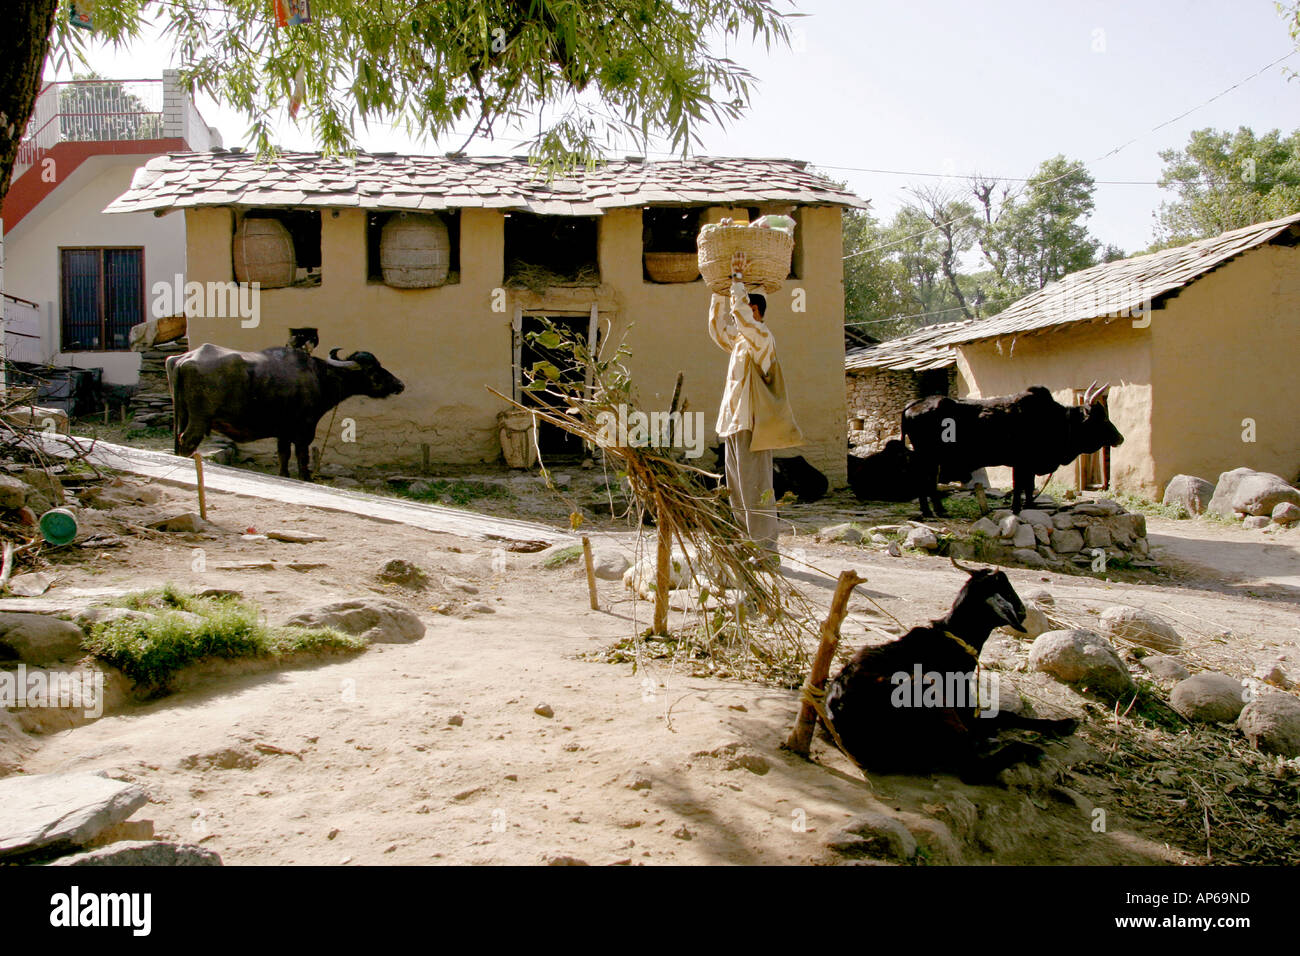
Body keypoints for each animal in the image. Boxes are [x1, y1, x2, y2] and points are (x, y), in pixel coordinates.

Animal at [165, 343, 403, 481]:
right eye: (373, 369)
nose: (399, 384)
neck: (319, 377)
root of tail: (184, 360)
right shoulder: (304, 428)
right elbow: (301, 455)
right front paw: (305, 477)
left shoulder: (283, 431)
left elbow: (283, 454)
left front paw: (284, 474)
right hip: (199, 420)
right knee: (187, 440)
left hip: (182, 416)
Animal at [821, 556, 1076, 780]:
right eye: (1003, 586)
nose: (1023, 612)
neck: (953, 640)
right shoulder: (964, 711)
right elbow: (1005, 716)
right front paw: (1062, 724)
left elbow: (1005, 715)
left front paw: (1061, 724)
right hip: (927, 696)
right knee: (972, 769)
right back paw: (1025, 749)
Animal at [899, 382, 1123, 515]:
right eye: (1102, 418)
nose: (1120, 438)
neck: (1056, 420)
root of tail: (914, 404)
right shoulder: (1022, 463)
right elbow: (1021, 487)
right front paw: (1017, 509)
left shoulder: (1025, 465)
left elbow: (1028, 487)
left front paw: (1030, 506)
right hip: (926, 456)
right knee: (923, 481)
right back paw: (928, 512)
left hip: (932, 459)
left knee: (929, 482)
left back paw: (938, 510)